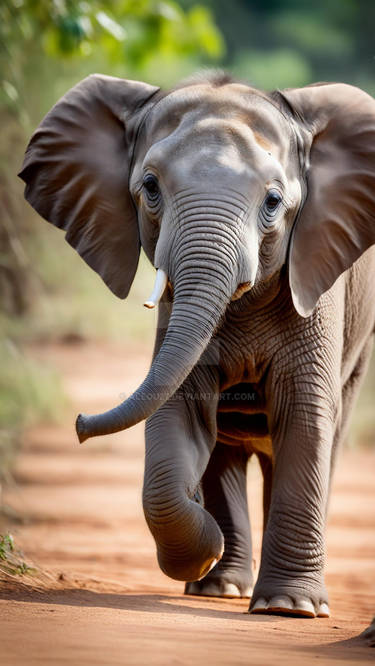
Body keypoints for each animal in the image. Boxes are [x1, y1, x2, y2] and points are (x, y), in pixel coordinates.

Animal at [20, 72, 375, 616]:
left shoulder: (316, 279)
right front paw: (206, 551)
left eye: (273, 202)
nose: (79, 424)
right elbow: (178, 407)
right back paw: (220, 586)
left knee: (324, 437)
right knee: (224, 449)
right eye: (150, 188)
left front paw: (289, 608)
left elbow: (305, 412)